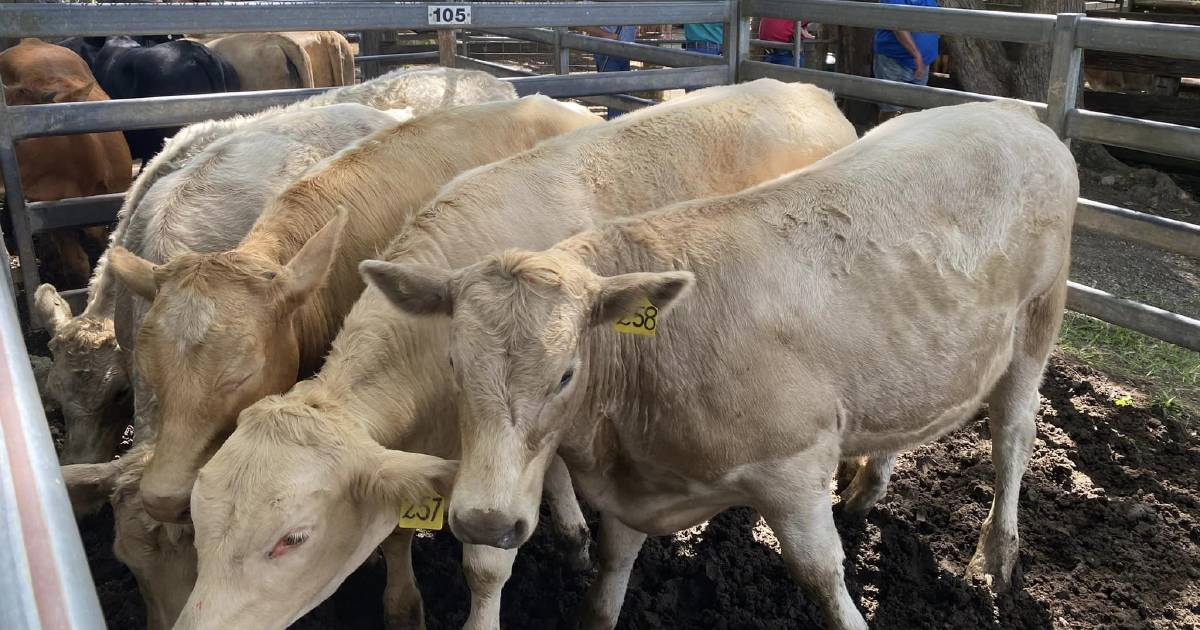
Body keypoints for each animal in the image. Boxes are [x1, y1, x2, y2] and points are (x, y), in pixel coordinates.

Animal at [364, 99, 1080, 628]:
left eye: (566, 372)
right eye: (454, 364)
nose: (484, 521)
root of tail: (1011, 114)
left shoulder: (794, 461)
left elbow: (820, 574)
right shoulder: (632, 490)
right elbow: (610, 576)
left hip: (1038, 319)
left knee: (1013, 435)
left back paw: (995, 556)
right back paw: (868, 488)